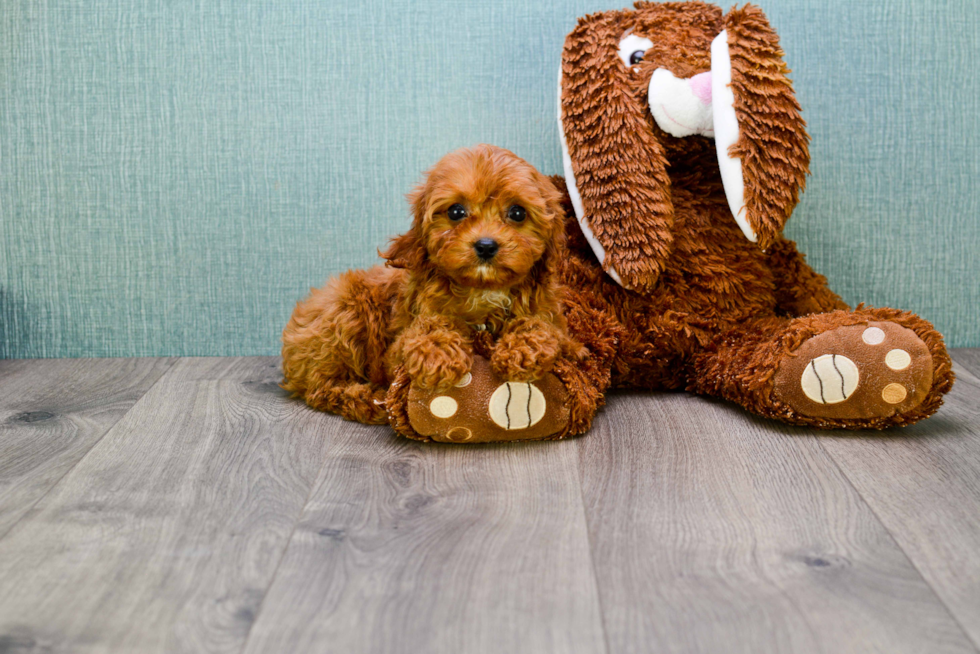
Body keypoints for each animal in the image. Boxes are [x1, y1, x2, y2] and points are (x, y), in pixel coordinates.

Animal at [280, 145, 580, 426]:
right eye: (456, 211)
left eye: (517, 212)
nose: (485, 245)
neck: (482, 290)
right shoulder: (394, 353)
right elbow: (428, 325)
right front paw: (438, 352)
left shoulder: (563, 332)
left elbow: (543, 327)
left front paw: (522, 350)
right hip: (344, 311)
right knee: (321, 388)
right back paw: (368, 399)